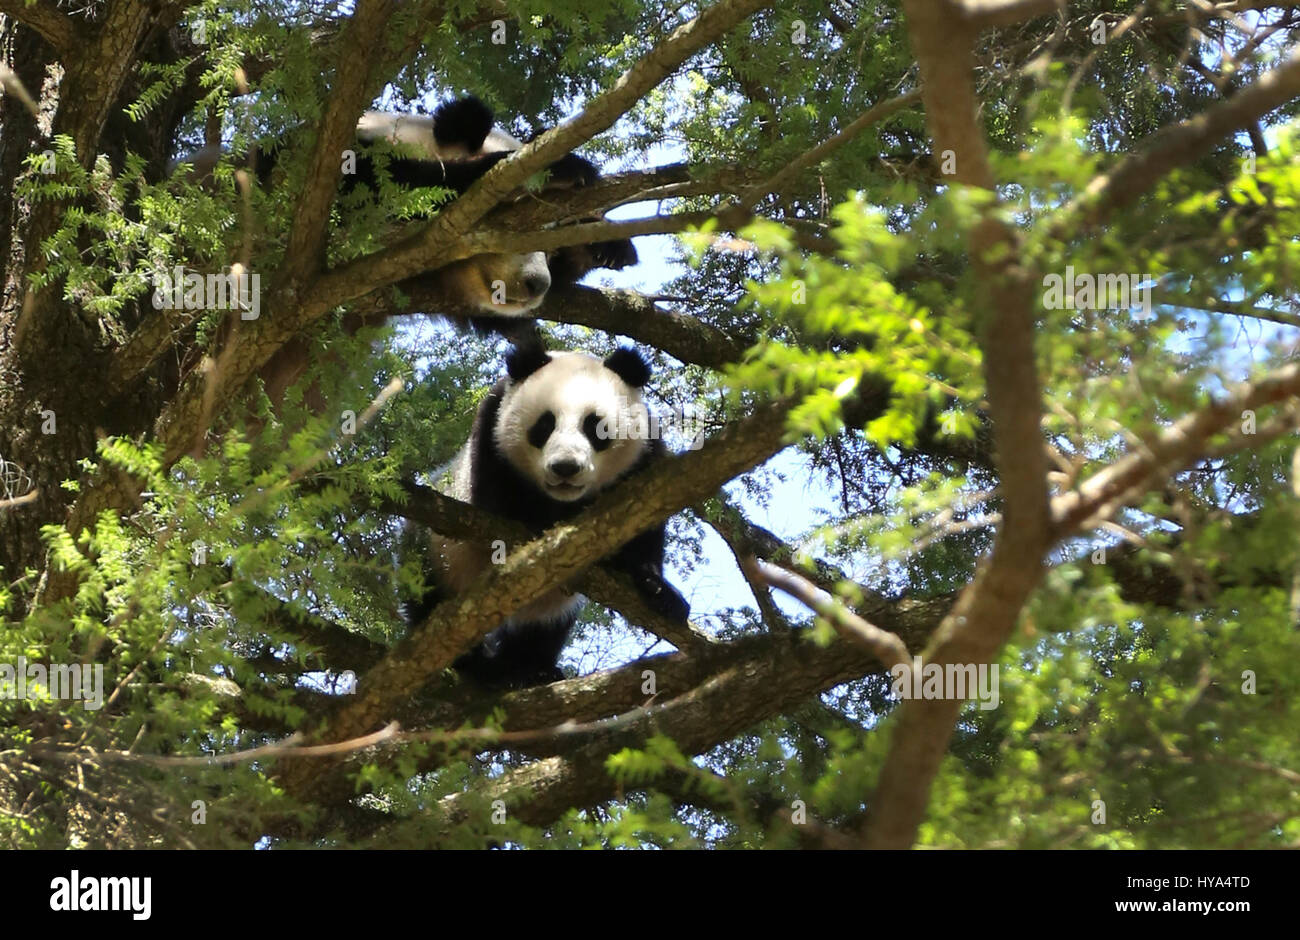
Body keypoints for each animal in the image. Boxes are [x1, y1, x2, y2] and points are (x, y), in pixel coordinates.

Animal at [403, 343, 691, 686]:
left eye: (595, 427)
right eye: (544, 425)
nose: (565, 467)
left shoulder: (643, 451)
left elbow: (646, 521)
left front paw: (657, 589)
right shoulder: (490, 432)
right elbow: (500, 511)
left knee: (544, 629)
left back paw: (531, 668)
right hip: (437, 554)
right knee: (426, 593)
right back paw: (482, 664)